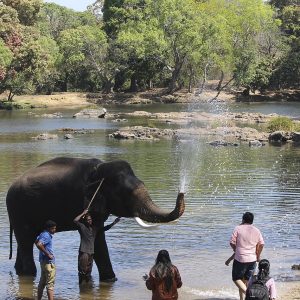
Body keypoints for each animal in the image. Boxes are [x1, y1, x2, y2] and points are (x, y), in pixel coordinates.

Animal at [6, 157, 185, 282]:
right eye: (126, 194)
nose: (181, 192)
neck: (99, 170)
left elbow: (99, 233)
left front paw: (111, 280)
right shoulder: (82, 200)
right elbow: (96, 239)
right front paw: (111, 279)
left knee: (25, 242)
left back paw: (20, 272)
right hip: (17, 209)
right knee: (25, 241)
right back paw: (29, 274)